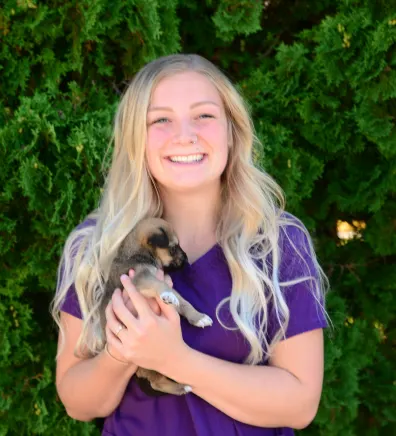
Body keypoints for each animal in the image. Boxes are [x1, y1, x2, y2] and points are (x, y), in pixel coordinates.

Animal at [102, 217, 213, 396]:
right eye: (173, 248)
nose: (187, 260)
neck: (138, 253)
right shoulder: (141, 278)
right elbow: (160, 285)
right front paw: (166, 295)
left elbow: (184, 301)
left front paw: (198, 317)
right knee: (157, 383)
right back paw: (182, 388)